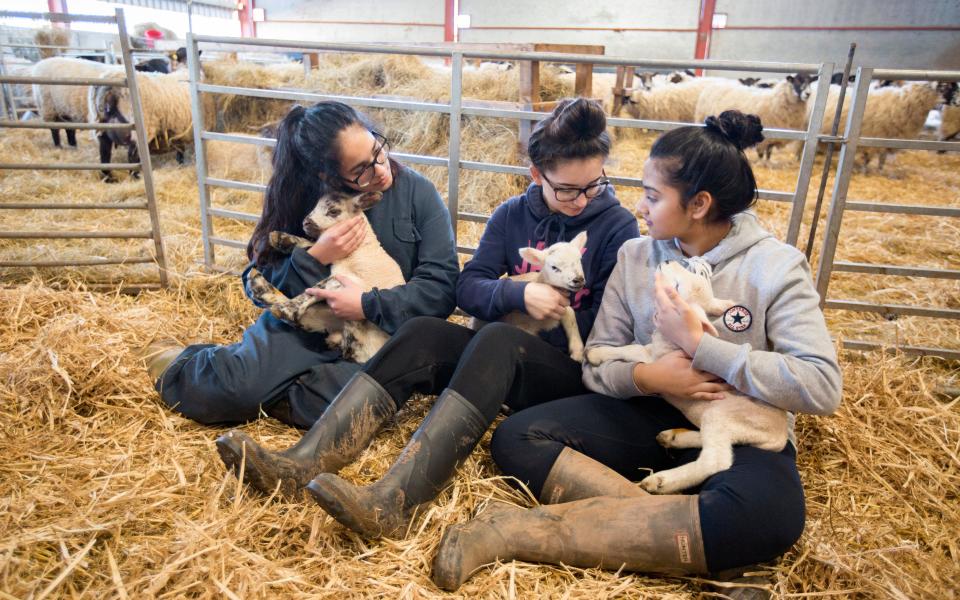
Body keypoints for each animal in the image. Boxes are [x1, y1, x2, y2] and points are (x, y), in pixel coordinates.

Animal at [244, 190, 404, 364]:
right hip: (330, 317)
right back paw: (258, 284)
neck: (361, 247)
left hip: (359, 332)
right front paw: (281, 239)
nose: (306, 222)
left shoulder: (349, 281)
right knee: (307, 320)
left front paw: (287, 309)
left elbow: (313, 290)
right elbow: (312, 245)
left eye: (333, 211)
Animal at [468, 231, 588, 360]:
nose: (578, 279)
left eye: (579, 259)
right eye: (554, 267)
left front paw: (577, 351)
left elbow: (570, 314)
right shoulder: (522, 325)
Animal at [584, 258, 788, 492]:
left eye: (677, 287)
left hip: (722, 415)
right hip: (736, 428)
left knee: (715, 460)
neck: (672, 339)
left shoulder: (656, 359)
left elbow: (630, 350)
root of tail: (780, 434)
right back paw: (673, 438)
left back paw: (660, 481)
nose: (667, 261)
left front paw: (595, 354)